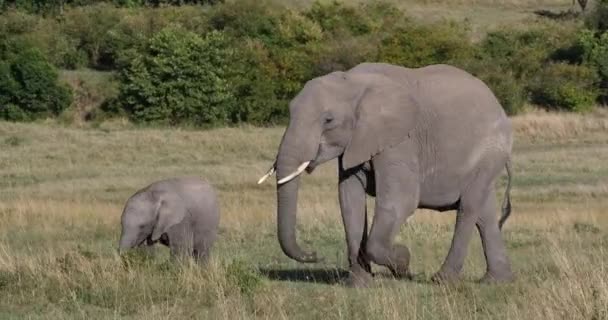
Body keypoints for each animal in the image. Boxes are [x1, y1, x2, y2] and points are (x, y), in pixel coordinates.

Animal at [258, 61, 516, 286]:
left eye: (328, 120)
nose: (315, 254)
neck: (353, 81)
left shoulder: (400, 140)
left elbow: (401, 200)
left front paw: (403, 264)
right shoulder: (356, 141)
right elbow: (349, 199)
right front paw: (359, 285)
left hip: (488, 153)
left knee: (468, 208)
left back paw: (442, 280)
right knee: (484, 213)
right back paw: (496, 282)